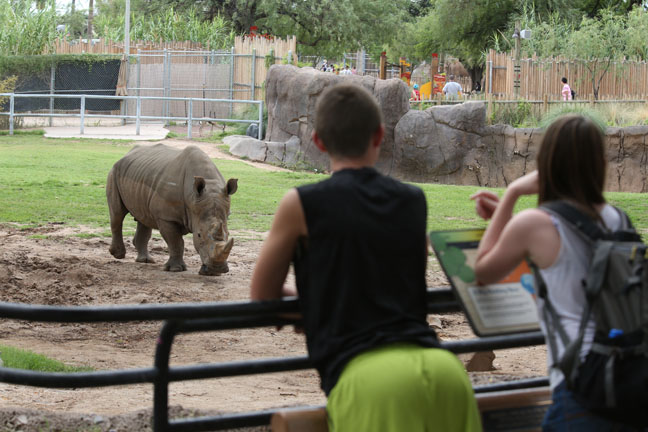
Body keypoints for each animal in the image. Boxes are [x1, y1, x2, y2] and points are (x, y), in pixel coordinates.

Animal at [106, 143, 238, 275]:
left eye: (228, 234)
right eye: (199, 235)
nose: (217, 269)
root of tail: (128, 152)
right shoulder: (166, 217)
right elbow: (176, 242)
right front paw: (175, 269)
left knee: (144, 218)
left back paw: (145, 261)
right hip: (114, 172)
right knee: (117, 214)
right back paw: (118, 255)